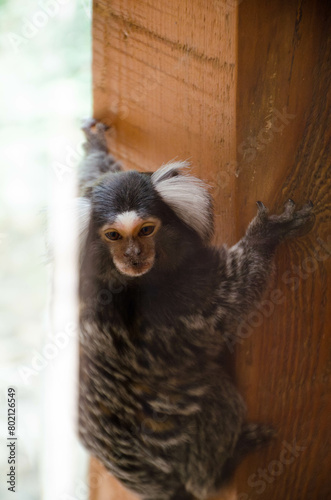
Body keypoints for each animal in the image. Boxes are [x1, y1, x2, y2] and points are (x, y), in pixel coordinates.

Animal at [78, 119, 316, 498]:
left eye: (146, 230)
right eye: (113, 235)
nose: (133, 256)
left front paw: (96, 149)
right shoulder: (178, 298)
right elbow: (231, 302)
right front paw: (266, 234)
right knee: (216, 400)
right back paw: (224, 464)